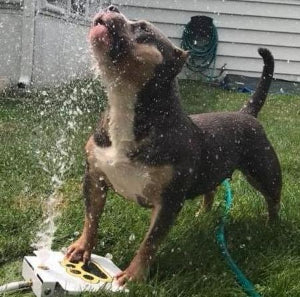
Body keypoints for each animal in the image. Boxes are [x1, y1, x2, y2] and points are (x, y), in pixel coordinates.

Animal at [66, 3, 282, 284]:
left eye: (143, 28)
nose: (112, 6)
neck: (127, 105)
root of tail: (247, 114)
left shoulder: (168, 201)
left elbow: (149, 242)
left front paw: (133, 276)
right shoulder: (94, 178)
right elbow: (91, 218)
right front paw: (82, 249)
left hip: (263, 171)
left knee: (273, 199)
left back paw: (271, 227)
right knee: (211, 189)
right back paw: (204, 214)